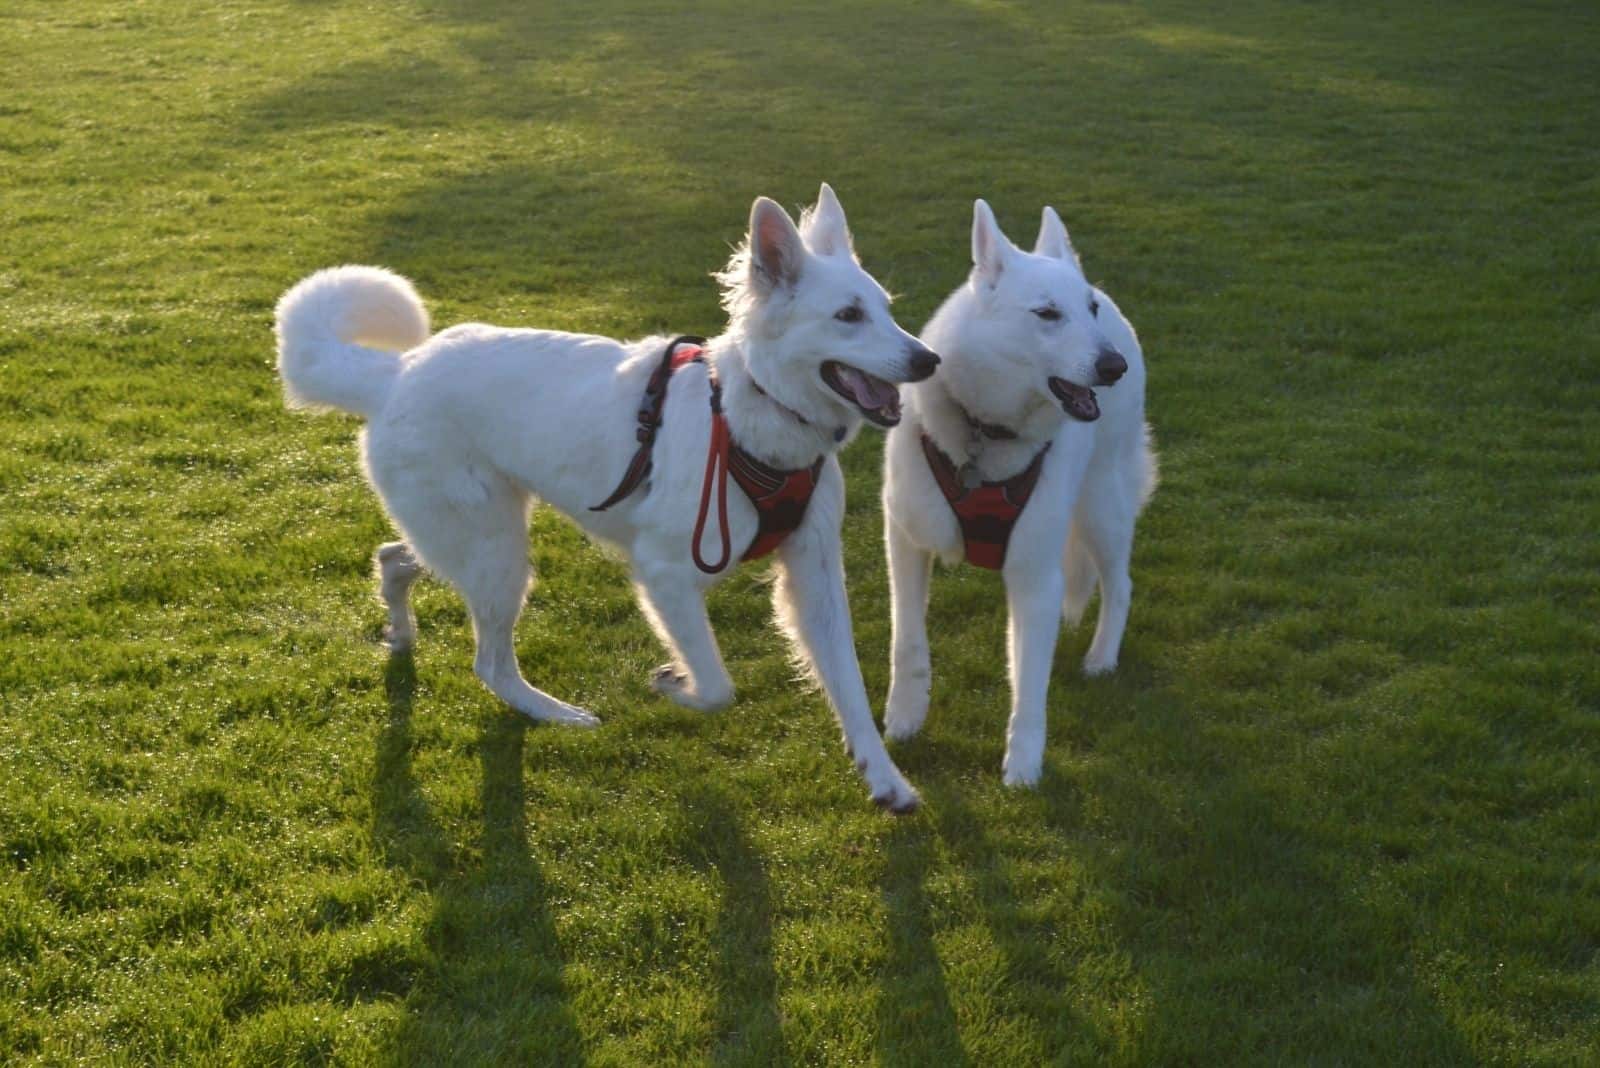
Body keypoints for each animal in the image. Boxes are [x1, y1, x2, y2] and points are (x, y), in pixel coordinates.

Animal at [268, 185, 934, 808]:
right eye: (847, 316)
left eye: (884, 310)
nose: (929, 359)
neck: (748, 418)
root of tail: (396, 374)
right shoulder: (665, 574)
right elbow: (718, 687)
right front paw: (674, 683)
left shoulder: (814, 575)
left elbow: (850, 686)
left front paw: (885, 780)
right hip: (498, 554)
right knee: (489, 664)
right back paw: (555, 713)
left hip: (478, 540)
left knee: (394, 558)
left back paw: (402, 632)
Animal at [883, 202, 1158, 783]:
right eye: (1047, 314)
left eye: (1086, 309)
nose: (1113, 368)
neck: (985, 433)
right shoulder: (905, 542)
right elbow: (908, 640)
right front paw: (904, 718)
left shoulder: (1035, 578)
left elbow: (1030, 681)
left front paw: (1024, 766)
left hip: (1102, 508)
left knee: (1119, 584)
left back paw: (1102, 657)